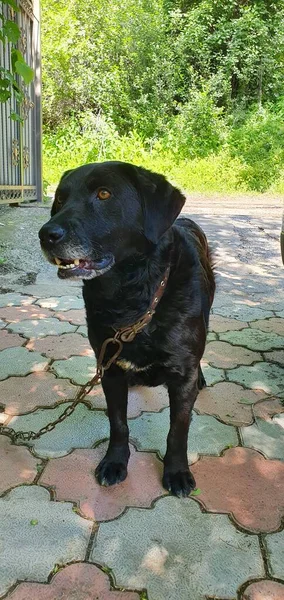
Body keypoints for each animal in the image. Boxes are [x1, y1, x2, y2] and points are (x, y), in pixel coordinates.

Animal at [38, 161, 215, 496]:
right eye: (60, 199)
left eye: (104, 194)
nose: (46, 234)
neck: (131, 299)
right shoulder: (110, 371)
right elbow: (118, 424)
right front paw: (115, 462)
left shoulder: (181, 375)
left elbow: (178, 430)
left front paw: (177, 471)